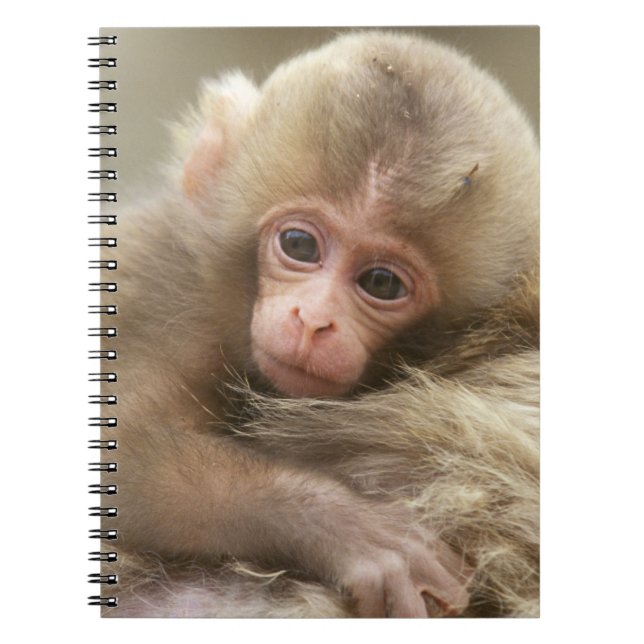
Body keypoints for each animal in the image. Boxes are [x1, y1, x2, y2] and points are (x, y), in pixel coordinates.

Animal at [99, 31, 539, 618]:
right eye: (299, 245)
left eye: (381, 283)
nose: (312, 322)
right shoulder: (176, 296)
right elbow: (122, 445)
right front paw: (350, 529)